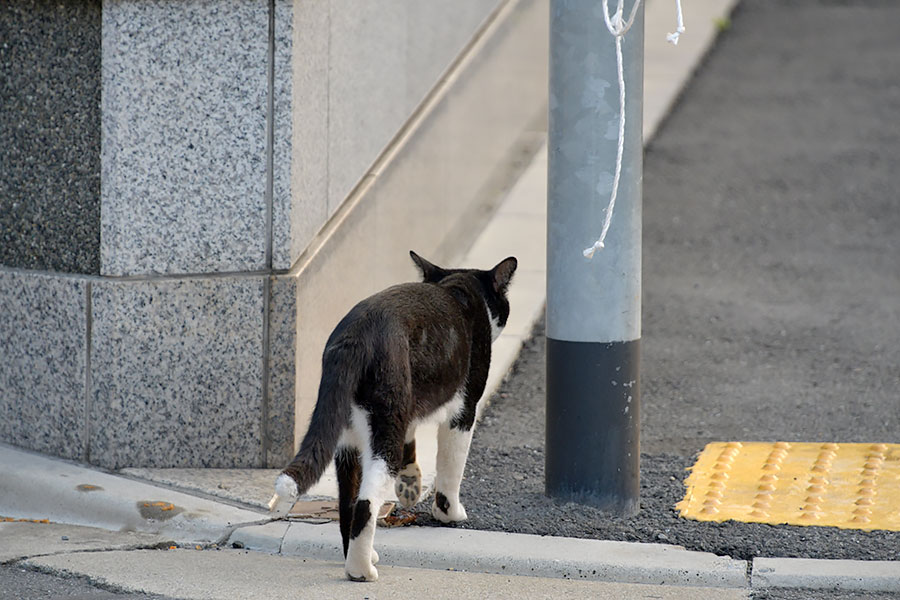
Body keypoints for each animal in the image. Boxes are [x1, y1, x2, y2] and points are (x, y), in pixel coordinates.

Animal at [268, 250, 516, 580]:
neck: (457, 286)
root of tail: (354, 336)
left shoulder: (408, 409)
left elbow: (411, 442)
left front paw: (410, 485)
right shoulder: (464, 411)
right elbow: (451, 467)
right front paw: (449, 513)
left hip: (351, 430)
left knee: (347, 503)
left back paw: (355, 557)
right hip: (386, 422)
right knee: (366, 501)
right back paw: (361, 570)